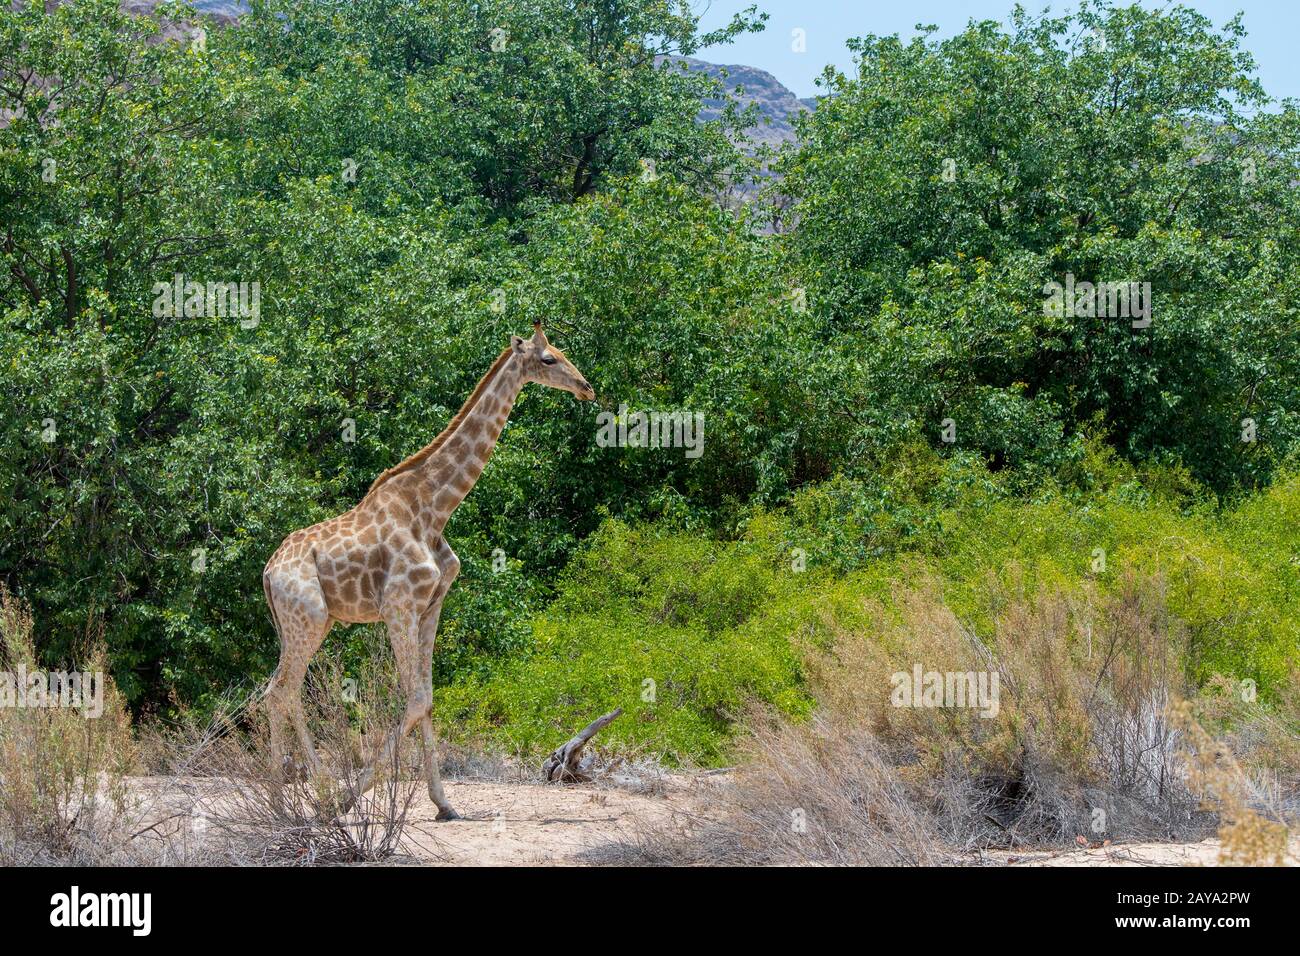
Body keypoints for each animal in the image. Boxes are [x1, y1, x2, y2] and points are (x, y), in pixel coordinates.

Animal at [261, 322, 594, 820]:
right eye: (549, 358)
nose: (586, 387)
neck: (434, 510)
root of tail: (267, 571)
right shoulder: (399, 604)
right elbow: (416, 697)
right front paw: (350, 796)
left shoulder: (432, 604)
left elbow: (429, 699)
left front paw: (444, 804)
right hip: (310, 618)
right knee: (279, 692)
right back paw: (303, 797)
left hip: (303, 623)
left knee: (282, 691)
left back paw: (299, 792)